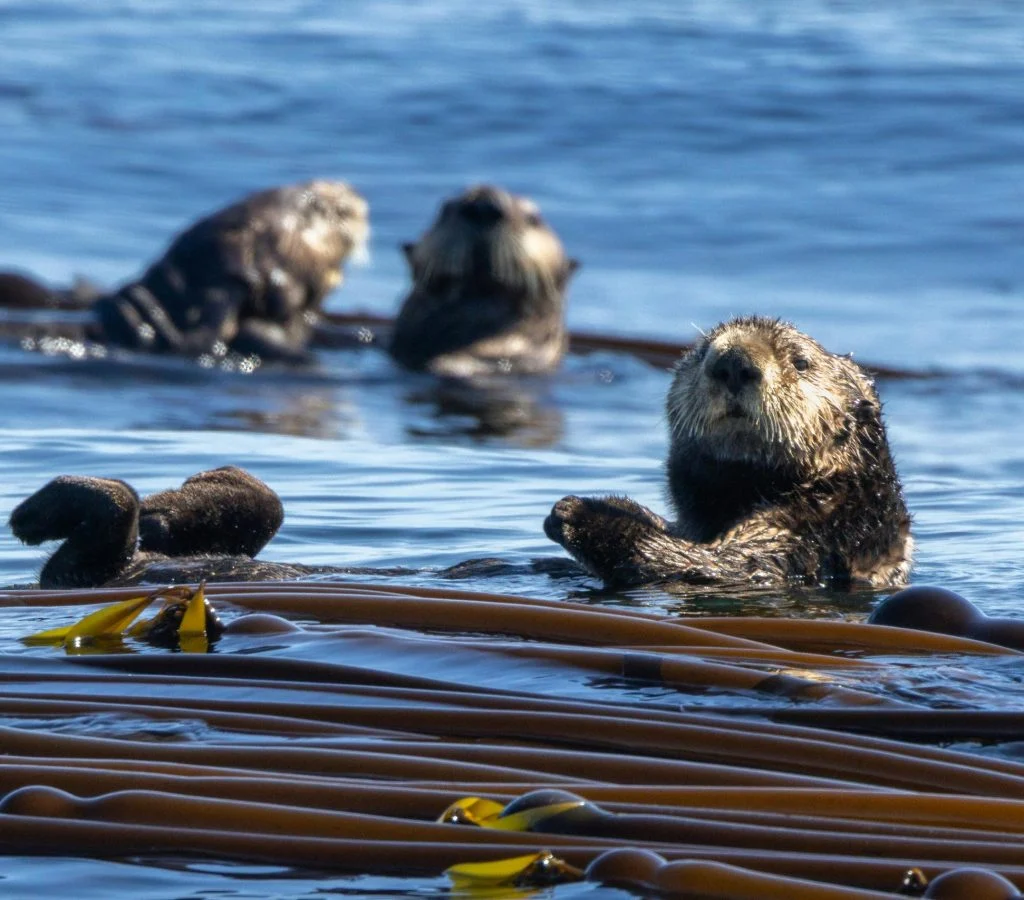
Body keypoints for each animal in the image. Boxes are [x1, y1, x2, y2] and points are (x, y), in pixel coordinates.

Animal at [544, 316, 913, 589]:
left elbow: (713, 565)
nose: (733, 363)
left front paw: (576, 512)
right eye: (702, 352)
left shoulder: (808, 537)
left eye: (801, 362)